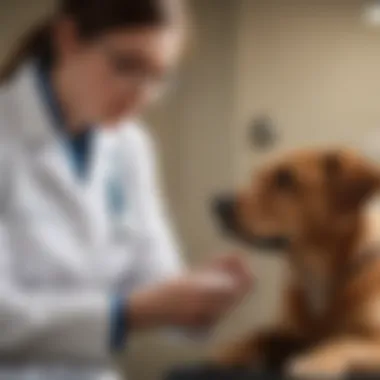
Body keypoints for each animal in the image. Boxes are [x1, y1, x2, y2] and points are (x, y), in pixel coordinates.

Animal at [214, 148, 380, 378]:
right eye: (256, 177)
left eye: (285, 178)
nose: (218, 204)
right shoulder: (296, 334)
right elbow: (263, 333)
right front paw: (235, 349)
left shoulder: (370, 338)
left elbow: (342, 342)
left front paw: (315, 361)